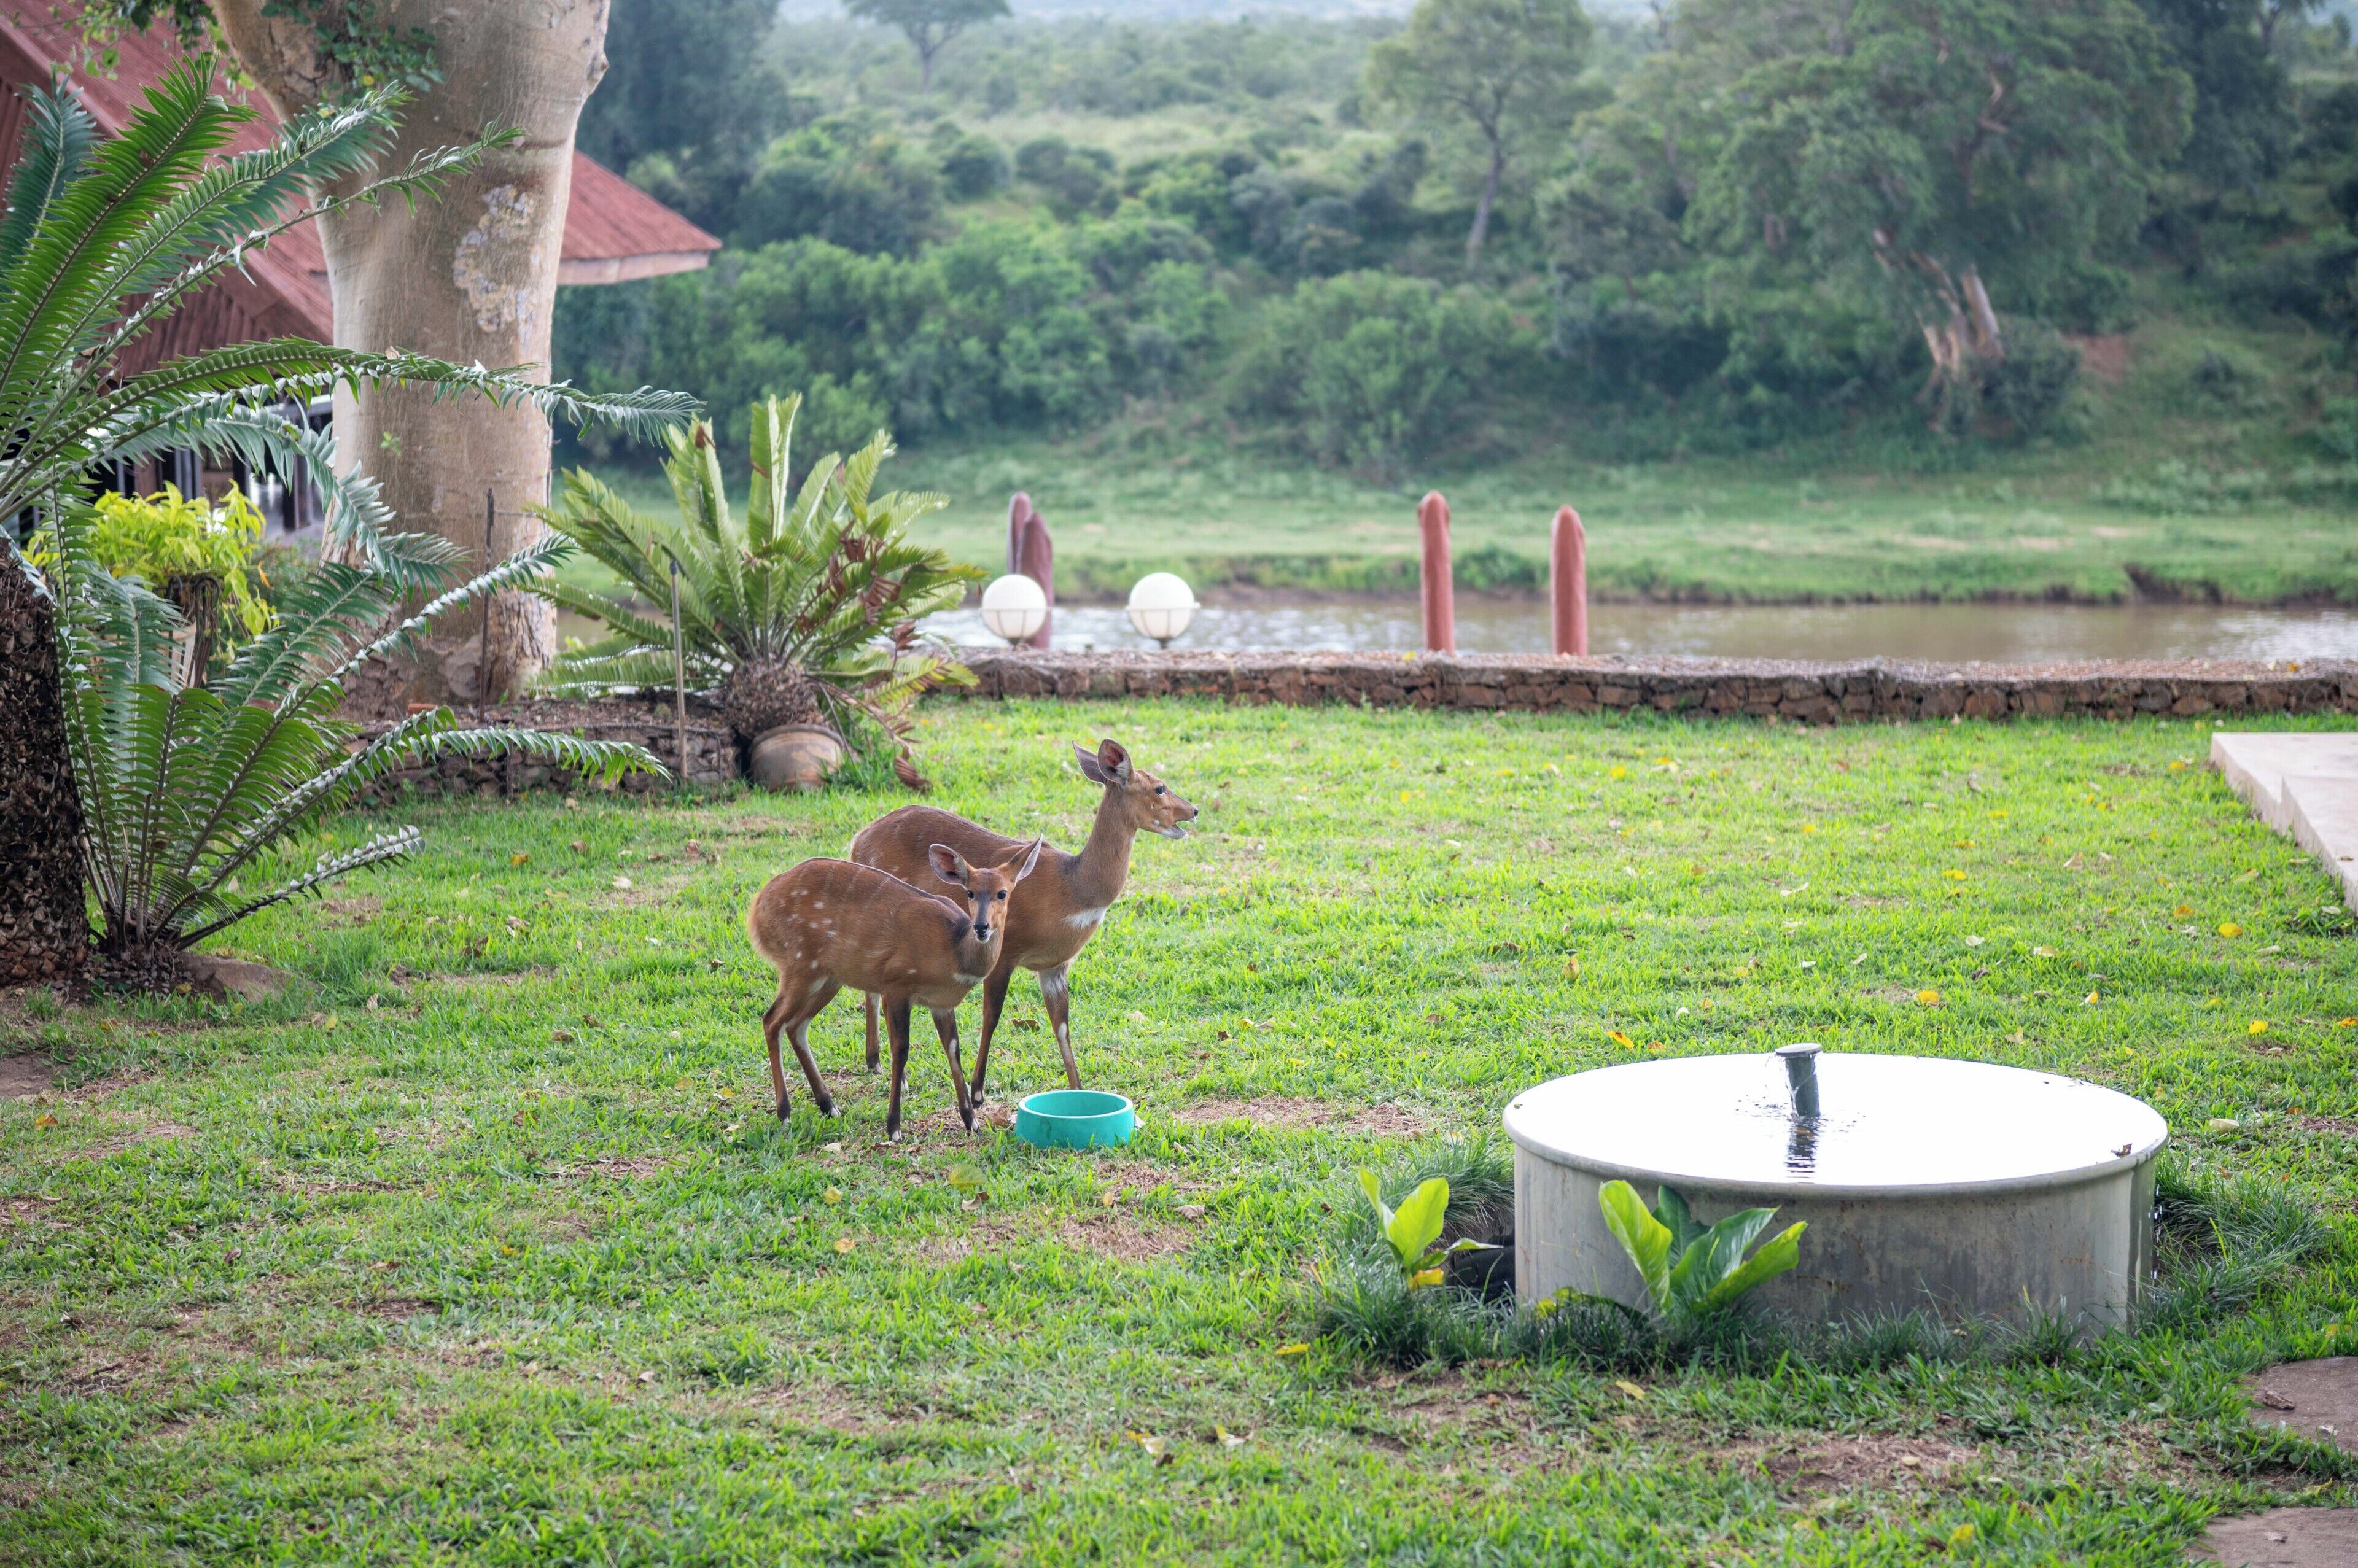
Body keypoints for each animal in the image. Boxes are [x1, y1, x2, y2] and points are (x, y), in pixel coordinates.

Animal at [744, 838, 1043, 1141]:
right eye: (970, 893)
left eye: (1002, 893)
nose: (982, 927)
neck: (954, 952)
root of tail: (757, 910)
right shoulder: (897, 985)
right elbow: (901, 1049)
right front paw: (894, 1127)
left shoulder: (941, 1004)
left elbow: (953, 1050)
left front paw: (972, 1122)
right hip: (800, 964)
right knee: (772, 1020)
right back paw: (785, 1113)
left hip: (828, 977)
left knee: (796, 1026)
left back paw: (829, 1107)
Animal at [848, 738, 1197, 1101]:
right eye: (1160, 787)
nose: (1194, 810)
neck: (1071, 892)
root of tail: (857, 841)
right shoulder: (1004, 951)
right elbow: (992, 1016)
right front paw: (977, 1090)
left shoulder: (1055, 966)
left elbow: (1062, 1026)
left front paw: (1078, 1090)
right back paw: (896, 1075)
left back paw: (874, 1060)